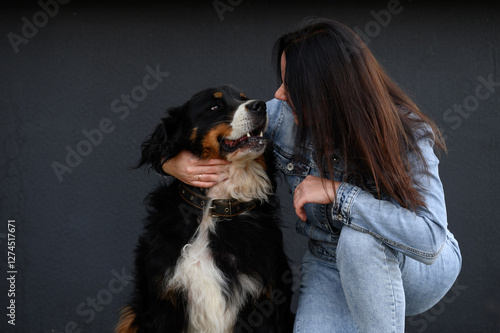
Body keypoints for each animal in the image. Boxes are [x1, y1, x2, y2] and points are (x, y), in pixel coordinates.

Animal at [116, 84, 292, 330]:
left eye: (243, 98)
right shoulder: (163, 302)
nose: (260, 106)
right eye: (214, 106)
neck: (214, 209)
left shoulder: (265, 302)